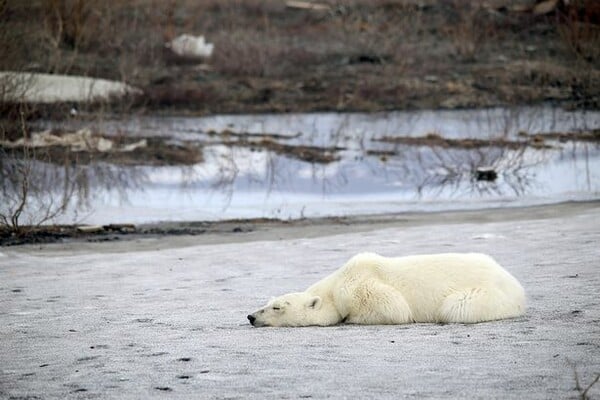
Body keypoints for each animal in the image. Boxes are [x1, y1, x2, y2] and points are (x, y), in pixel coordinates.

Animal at [248, 252, 524, 326]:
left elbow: (395, 308)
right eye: (268, 302)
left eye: (277, 307)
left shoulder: (361, 286)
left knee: (456, 307)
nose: (251, 316)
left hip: (486, 295)